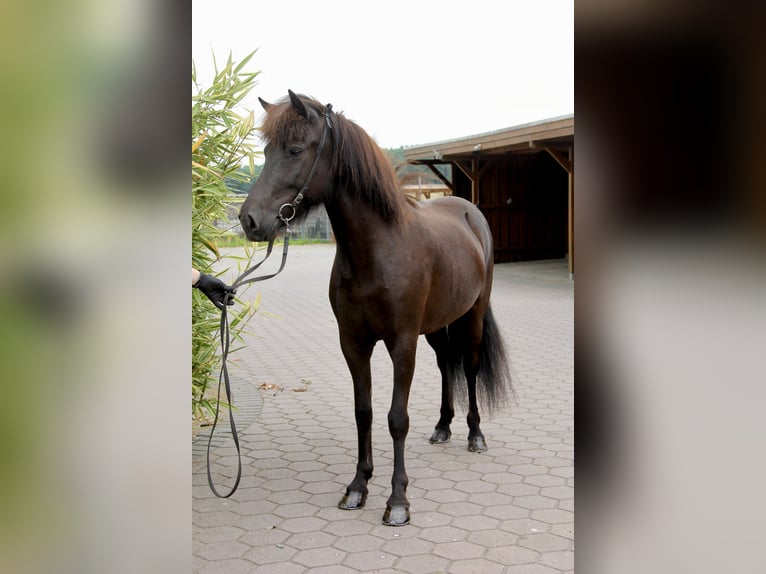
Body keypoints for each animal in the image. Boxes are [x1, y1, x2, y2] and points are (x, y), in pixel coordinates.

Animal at [239, 90, 512, 526]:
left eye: (295, 149)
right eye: (265, 151)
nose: (249, 220)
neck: (378, 249)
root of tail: (471, 213)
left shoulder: (401, 342)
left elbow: (396, 419)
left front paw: (398, 500)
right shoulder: (354, 342)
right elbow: (363, 412)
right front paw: (358, 486)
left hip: (471, 317)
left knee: (468, 368)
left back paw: (474, 435)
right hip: (434, 327)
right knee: (445, 364)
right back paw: (442, 427)